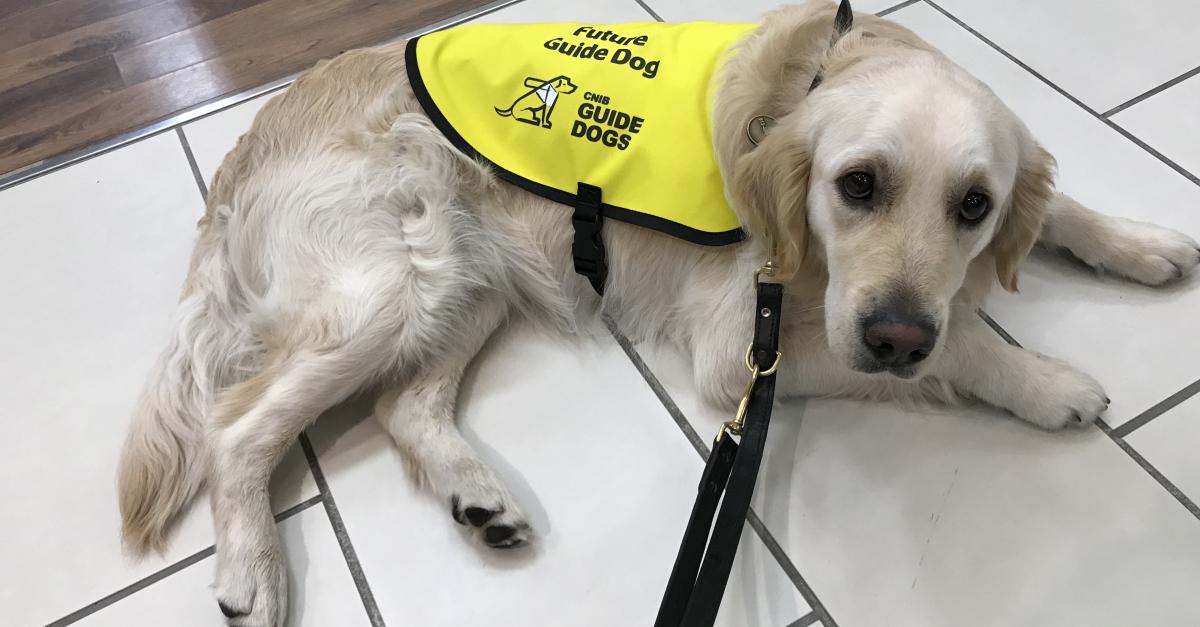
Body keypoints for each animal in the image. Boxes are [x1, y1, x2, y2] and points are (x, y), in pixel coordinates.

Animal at [114, 2, 1200, 619]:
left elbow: (1055, 206)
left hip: (469, 281)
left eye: (974, 206)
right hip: (395, 283)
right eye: (857, 185)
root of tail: (251, 140)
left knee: (400, 406)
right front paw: (1045, 381)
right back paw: (253, 570)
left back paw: (480, 498)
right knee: (237, 425)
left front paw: (1140, 241)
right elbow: (961, 346)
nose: (894, 333)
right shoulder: (745, 343)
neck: (810, 78)